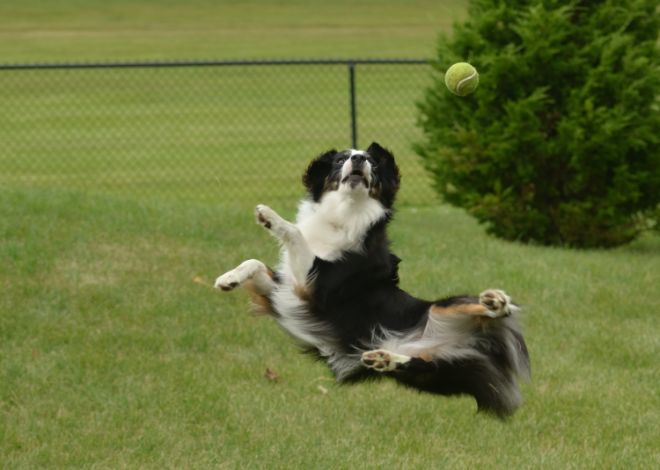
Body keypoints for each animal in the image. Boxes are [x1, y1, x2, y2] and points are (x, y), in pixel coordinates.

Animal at [217, 142, 532, 414]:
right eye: (340, 159)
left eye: (372, 162)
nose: (359, 159)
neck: (346, 213)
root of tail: (476, 343)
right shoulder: (285, 292)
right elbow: (255, 263)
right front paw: (227, 279)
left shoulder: (319, 286)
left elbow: (294, 233)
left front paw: (270, 217)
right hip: (434, 371)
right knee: (419, 365)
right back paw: (384, 357)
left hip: (444, 308)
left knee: (494, 311)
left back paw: (496, 301)